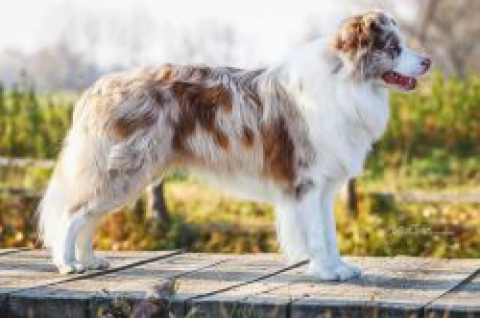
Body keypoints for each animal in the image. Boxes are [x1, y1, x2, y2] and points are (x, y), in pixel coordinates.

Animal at [39, 9, 432, 280]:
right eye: (394, 48)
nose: (428, 61)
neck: (346, 82)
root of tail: (99, 87)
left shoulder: (324, 187)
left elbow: (329, 233)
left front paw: (338, 268)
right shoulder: (305, 182)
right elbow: (316, 235)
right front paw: (325, 271)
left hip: (129, 174)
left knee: (89, 218)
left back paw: (90, 260)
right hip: (121, 171)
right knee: (73, 215)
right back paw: (68, 264)